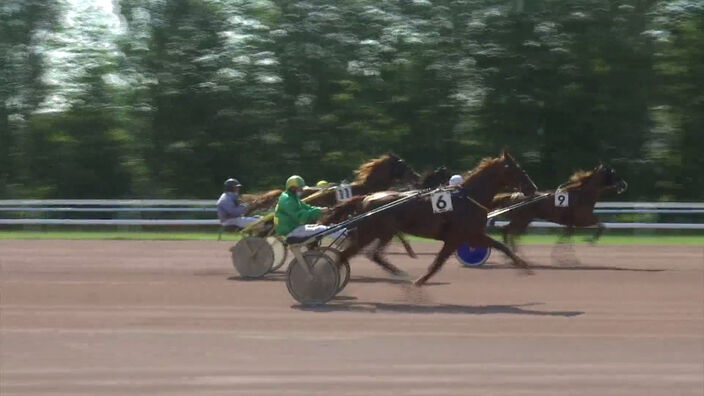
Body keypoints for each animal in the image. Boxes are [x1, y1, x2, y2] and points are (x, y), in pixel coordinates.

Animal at [322, 151, 536, 284]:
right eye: (516, 169)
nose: (532, 188)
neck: (468, 197)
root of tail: (366, 197)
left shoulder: (469, 236)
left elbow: (501, 246)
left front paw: (524, 266)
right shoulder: (460, 236)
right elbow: (437, 263)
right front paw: (419, 282)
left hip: (378, 233)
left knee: (357, 255)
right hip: (378, 232)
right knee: (358, 255)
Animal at [490, 163, 628, 251]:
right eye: (612, 174)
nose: (624, 184)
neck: (581, 195)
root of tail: (514, 195)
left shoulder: (571, 223)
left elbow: (567, 237)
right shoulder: (583, 220)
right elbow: (601, 225)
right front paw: (590, 239)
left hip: (523, 220)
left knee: (507, 231)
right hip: (522, 219)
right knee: (508, 231)